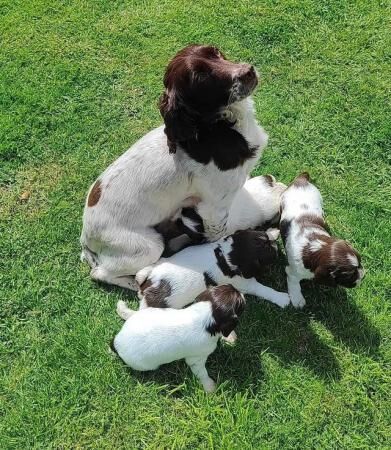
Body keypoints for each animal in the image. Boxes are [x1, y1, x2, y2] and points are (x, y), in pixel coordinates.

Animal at [80, 44, 270, 290]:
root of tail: (85, 236)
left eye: (216, 52)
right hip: (146, 245)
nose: (248, 71)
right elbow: (219, 237)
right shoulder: (213, 208)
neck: (218, 127)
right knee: (100, 273)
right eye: (201, 78)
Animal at [110, 286, 245, 392]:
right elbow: (202, 373)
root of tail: (116, 341)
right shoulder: (196, 359)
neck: (206, 313)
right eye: (240, 304)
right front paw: (210, 386)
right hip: (146, 365)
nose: (243, 293)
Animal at [280, 173, 366, 310]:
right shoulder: (293, 271)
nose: (363, 276)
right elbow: (294, 285)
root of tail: (301, 180)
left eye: (360, 262)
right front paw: (298, 300)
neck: (316, 248)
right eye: (348, 275)